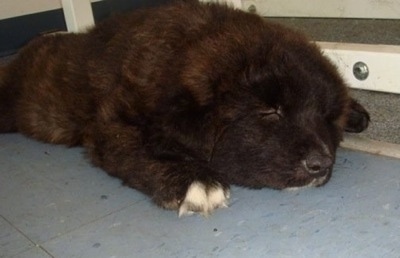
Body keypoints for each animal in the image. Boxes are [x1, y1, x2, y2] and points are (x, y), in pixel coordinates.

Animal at [0, 1, 368, 217]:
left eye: (326, 117)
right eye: (269, 111)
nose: (321, 164)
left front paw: (355, 112)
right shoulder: (111, 123)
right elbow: (136, 149)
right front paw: (193, 180)